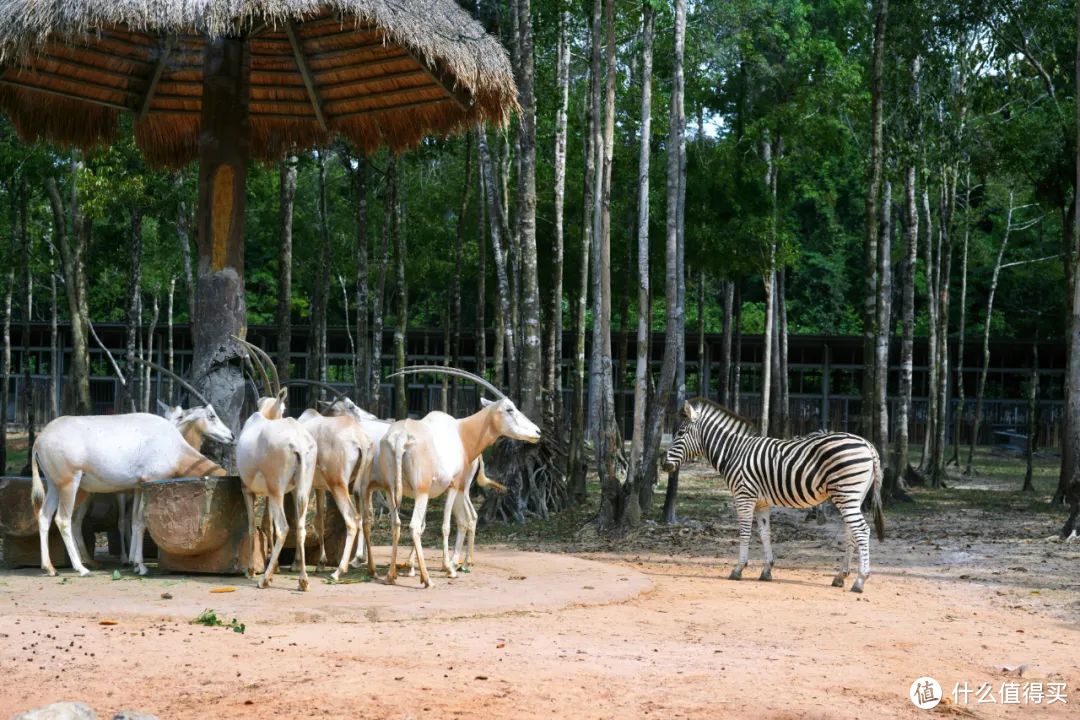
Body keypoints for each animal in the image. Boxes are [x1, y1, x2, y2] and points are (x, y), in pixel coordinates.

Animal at [235, 338, 315, 591]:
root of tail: (298, 442)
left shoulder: (248, 489)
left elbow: (253, 525)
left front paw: (251, 570)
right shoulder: (270, 494)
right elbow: (266, 525)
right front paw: (275, 568)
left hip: (277, 489)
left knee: (284, 527)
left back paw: (263, 580)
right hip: (299, 490)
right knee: (299, 526)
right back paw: (302, 580)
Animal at [365, 369, 540, 587]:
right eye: (509, 409)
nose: (537, 432)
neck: (461, 432)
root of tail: (400, 438)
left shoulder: (431, 492)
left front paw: (417, 567)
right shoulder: (452, 486)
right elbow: (445, 525)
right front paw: (449, 569)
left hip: (391, 490)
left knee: (396, 524)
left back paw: (391, 575)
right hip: (423, 491)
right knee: (416, 526)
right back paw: (429, 578)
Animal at [660, 397, 881, 595]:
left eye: (680, 433)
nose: (664, 465)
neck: (734, 452)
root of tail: (867, 444)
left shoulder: (744, 496)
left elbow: (745, 533)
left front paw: (738, 569)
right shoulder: (761, 502)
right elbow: (765, 533)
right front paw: (767, 570)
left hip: (846, 493)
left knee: (862, 531)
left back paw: (860, 581)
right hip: (851, 496)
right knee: (851, 532)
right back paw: (840, 577)